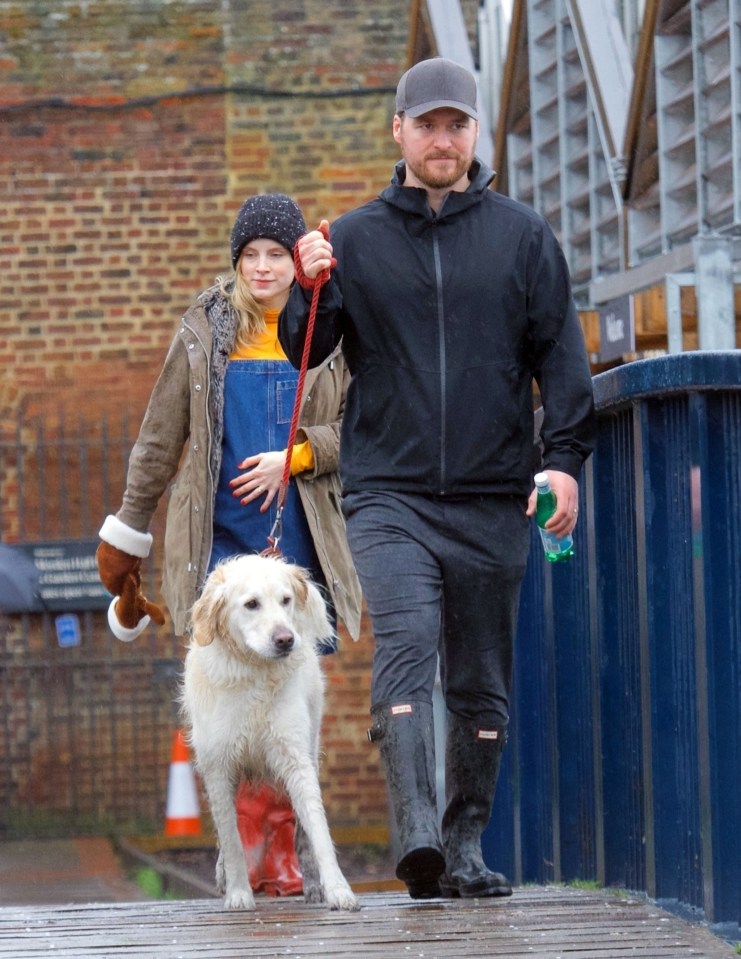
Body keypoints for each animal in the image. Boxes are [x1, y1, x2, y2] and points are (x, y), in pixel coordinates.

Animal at [184, 552, 360, 912]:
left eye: (286, 600)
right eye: (252, 604)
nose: (285, 640)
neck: (253, 671)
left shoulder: (295, 758)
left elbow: (317, 830)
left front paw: (338, 890)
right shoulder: (218, 766)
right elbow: (231, 838)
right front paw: (238, 892)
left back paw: (312, 886)